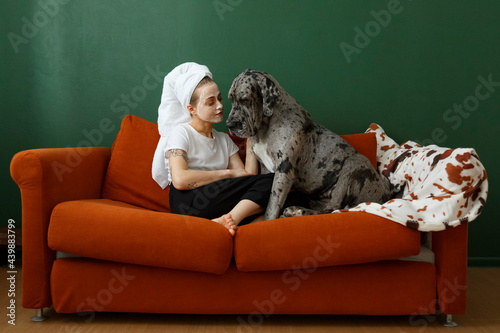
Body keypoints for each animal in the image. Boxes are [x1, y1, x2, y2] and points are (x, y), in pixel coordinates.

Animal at [225, 69, 392, 220]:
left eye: (245, 99)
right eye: (231, 99)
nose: (229, 124)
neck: (265, 127)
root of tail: (385, 196)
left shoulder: (284, 169)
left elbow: (272, 204)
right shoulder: (266, 170)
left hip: (354, 164)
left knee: (333, 208)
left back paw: (299, 211)